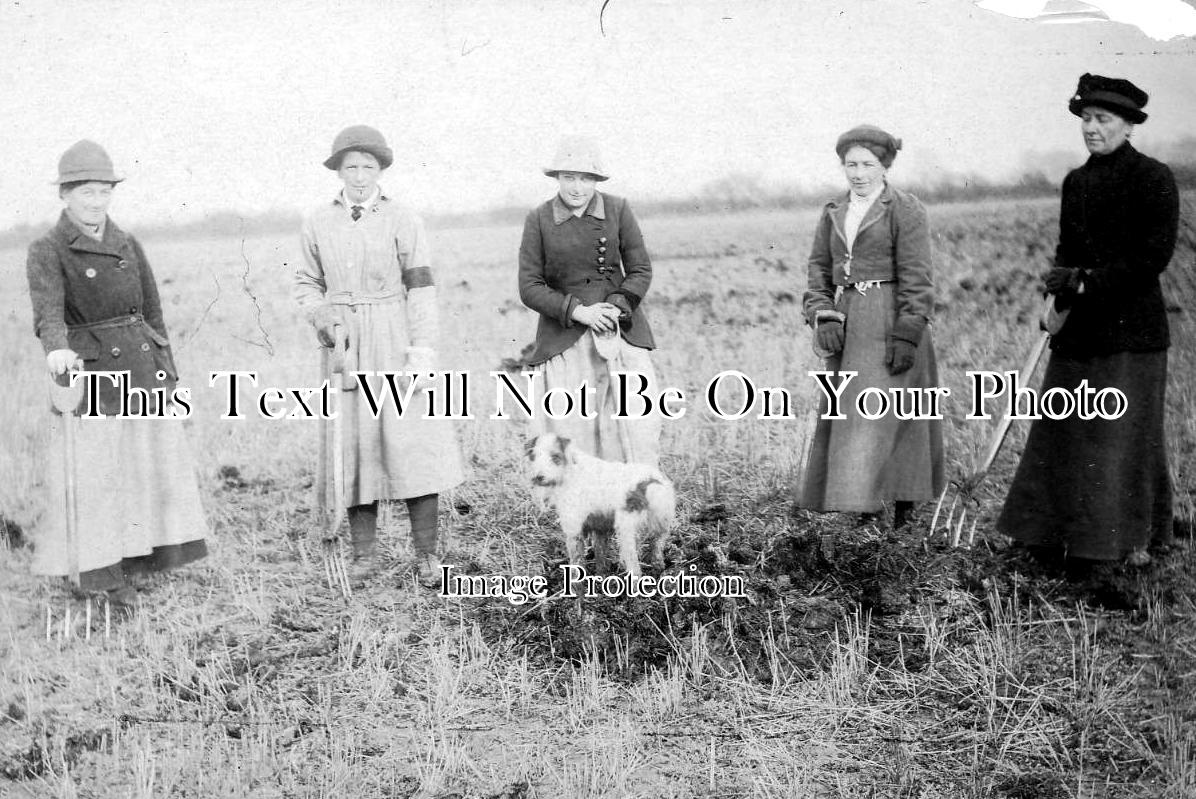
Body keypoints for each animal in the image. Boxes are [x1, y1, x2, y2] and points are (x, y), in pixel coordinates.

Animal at [523, 432, 674, 576]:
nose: (538, 477)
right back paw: (658, 568)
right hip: (660, 526)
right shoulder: (599, 528)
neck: (571, 470)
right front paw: (601, 577)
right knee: (656, 548)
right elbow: (600, 557)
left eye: (555, 456)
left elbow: (576, 563)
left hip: (625, 532)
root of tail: (650, 482)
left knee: (635, 569)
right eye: (534, 456)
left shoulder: (574, 530)